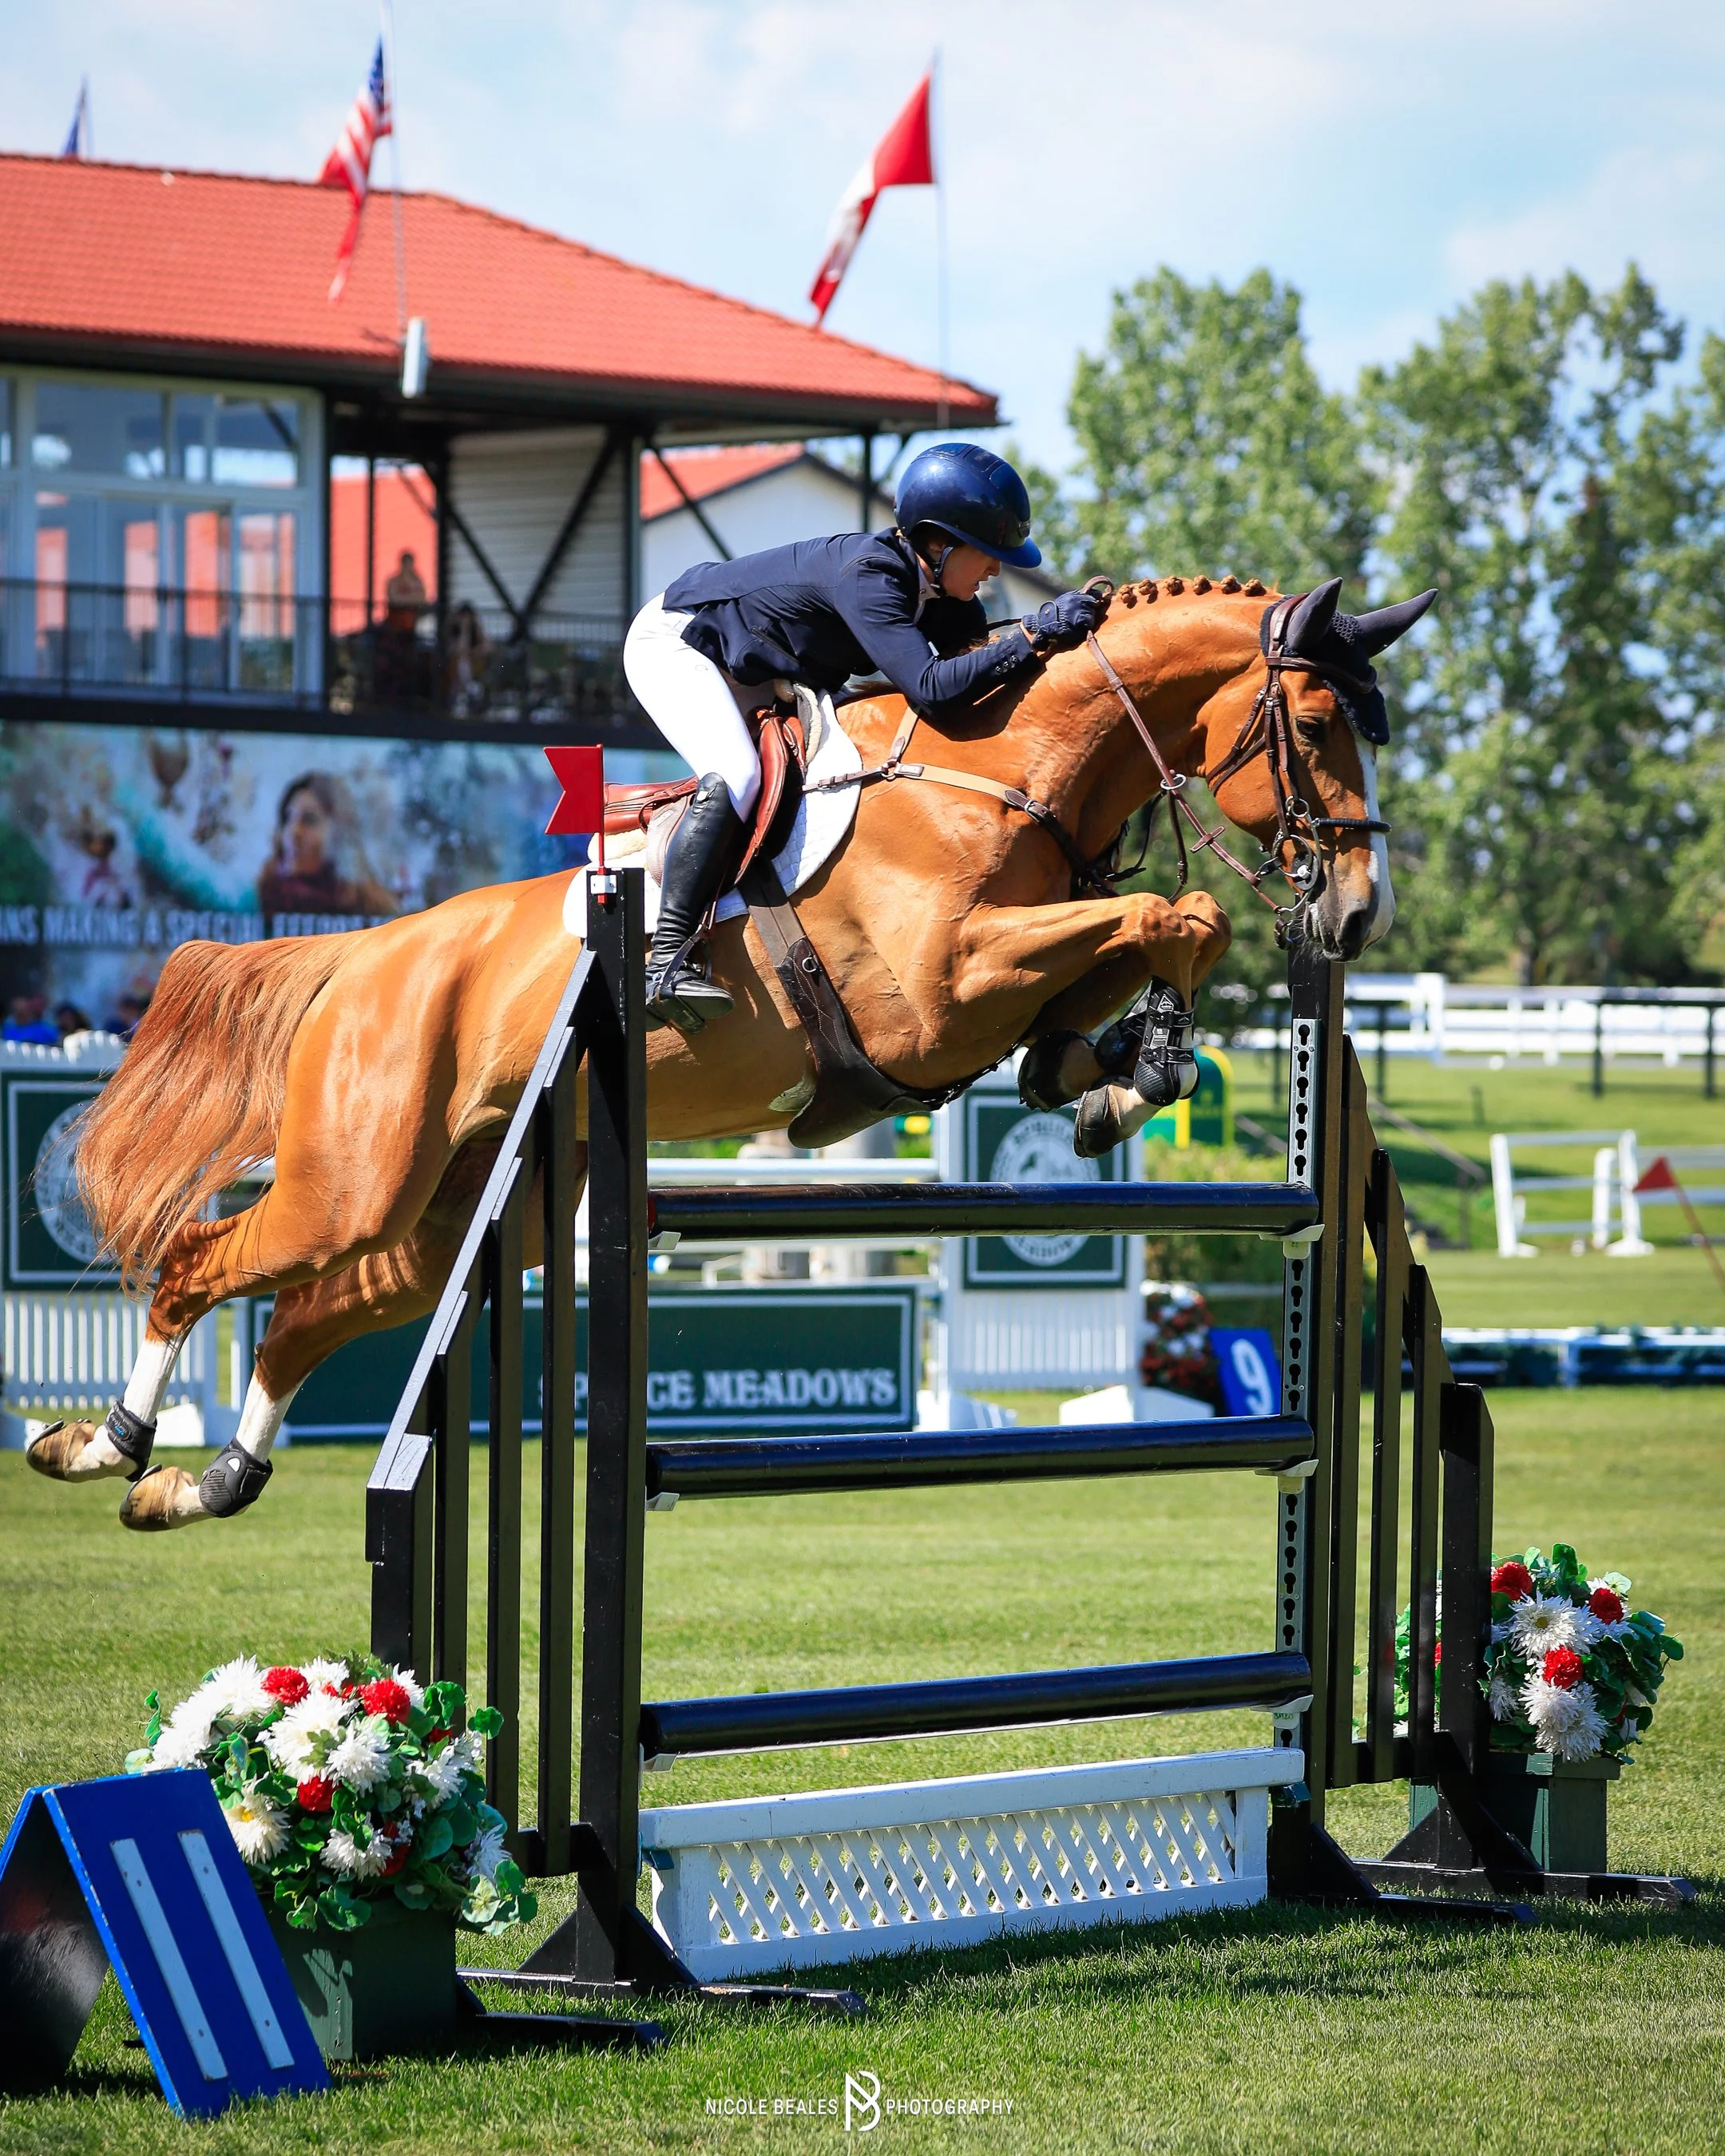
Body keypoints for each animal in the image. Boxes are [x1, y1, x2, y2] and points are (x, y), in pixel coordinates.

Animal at [28, 572, 1432, 1529]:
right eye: (1317, 724)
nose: (1357, 916)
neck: (1008, 773)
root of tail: (371, 953)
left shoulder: (994, 991)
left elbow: (1138, 950)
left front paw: (1116, 1080)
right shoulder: (942, 990)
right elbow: (1169, 914)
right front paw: (1141, 1065)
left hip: (458, 1218)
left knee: (307, 1315)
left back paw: (202, 1484)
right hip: (353, 1179)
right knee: (202, 1264)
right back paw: (105, 1446)